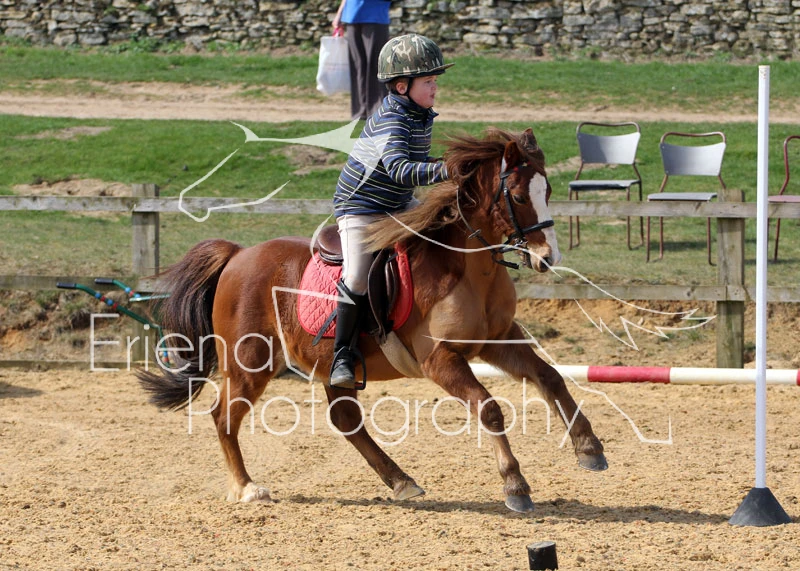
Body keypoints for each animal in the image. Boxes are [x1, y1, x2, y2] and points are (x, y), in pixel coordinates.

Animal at [137, 127, 607, 513]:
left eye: (548, 189)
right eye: (521, 197)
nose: (548, 258)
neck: (471, 268)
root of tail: (237, 255)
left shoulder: (499, 340)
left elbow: (550, 378)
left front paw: (589, 448)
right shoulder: (441, 360)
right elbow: (489, 409)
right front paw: (515, 485)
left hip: (326, 363)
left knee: (345, 420)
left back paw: (400, 481)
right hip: (250, 362)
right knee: (224, 416)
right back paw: (247, 488)